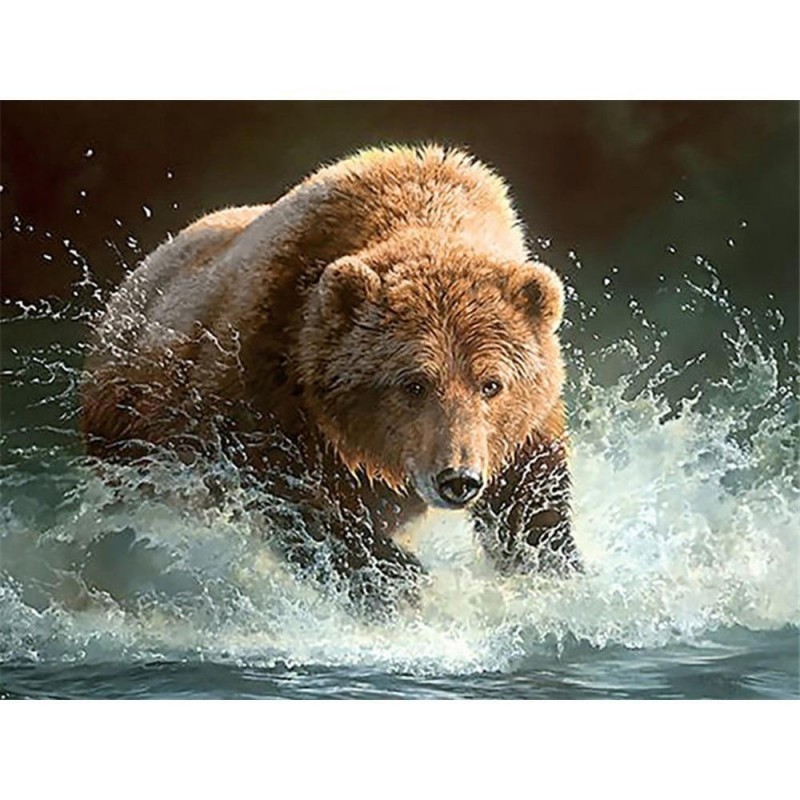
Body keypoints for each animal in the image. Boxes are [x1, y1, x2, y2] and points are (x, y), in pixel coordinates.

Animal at [81, 144, 580, 615]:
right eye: (414, 383)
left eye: (491, 384)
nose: (458, 479)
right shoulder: (266, 380)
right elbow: (291, 494)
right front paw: (394, 578)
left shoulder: (523, 426)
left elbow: (531, 499)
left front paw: (551, 568)